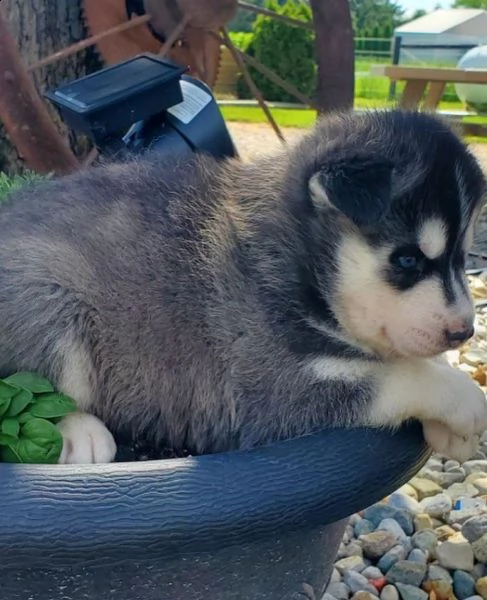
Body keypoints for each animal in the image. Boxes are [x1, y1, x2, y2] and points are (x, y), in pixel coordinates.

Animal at [0, 109, 487, 464]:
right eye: (407, 259)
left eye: (463, 258)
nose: (464, 332)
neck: (287, 265)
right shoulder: (270, 393)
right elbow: (400, 376)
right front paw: (467, 401)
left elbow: (405, 360)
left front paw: (449, 429)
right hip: (48, 298)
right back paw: (80, 434)